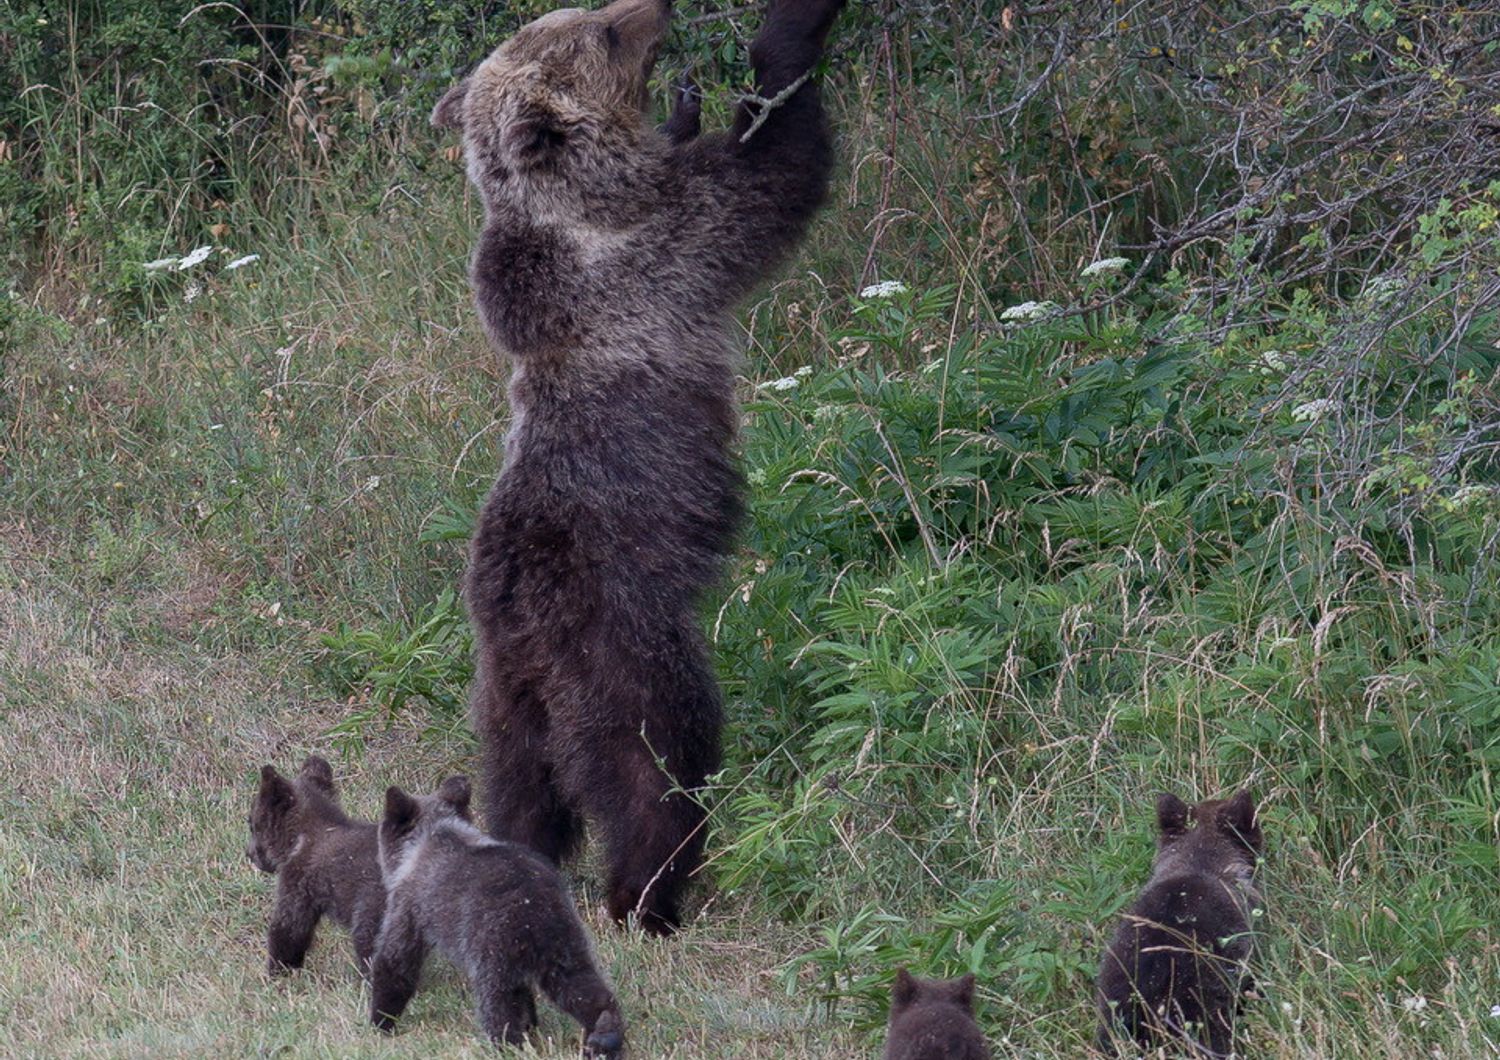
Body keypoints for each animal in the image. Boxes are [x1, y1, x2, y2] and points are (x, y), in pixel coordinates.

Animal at [432, 0, 846, 935]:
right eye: (603, 34)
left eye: (581, 15)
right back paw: (650, 895)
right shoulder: (670, 245)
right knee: (657, 770)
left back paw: (525, 860)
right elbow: (773, 170)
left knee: (520, 787)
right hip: (624, 645)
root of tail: (527, 626)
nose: (653, 7)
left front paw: (691, 107)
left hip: (503, 692)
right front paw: (786, 40)